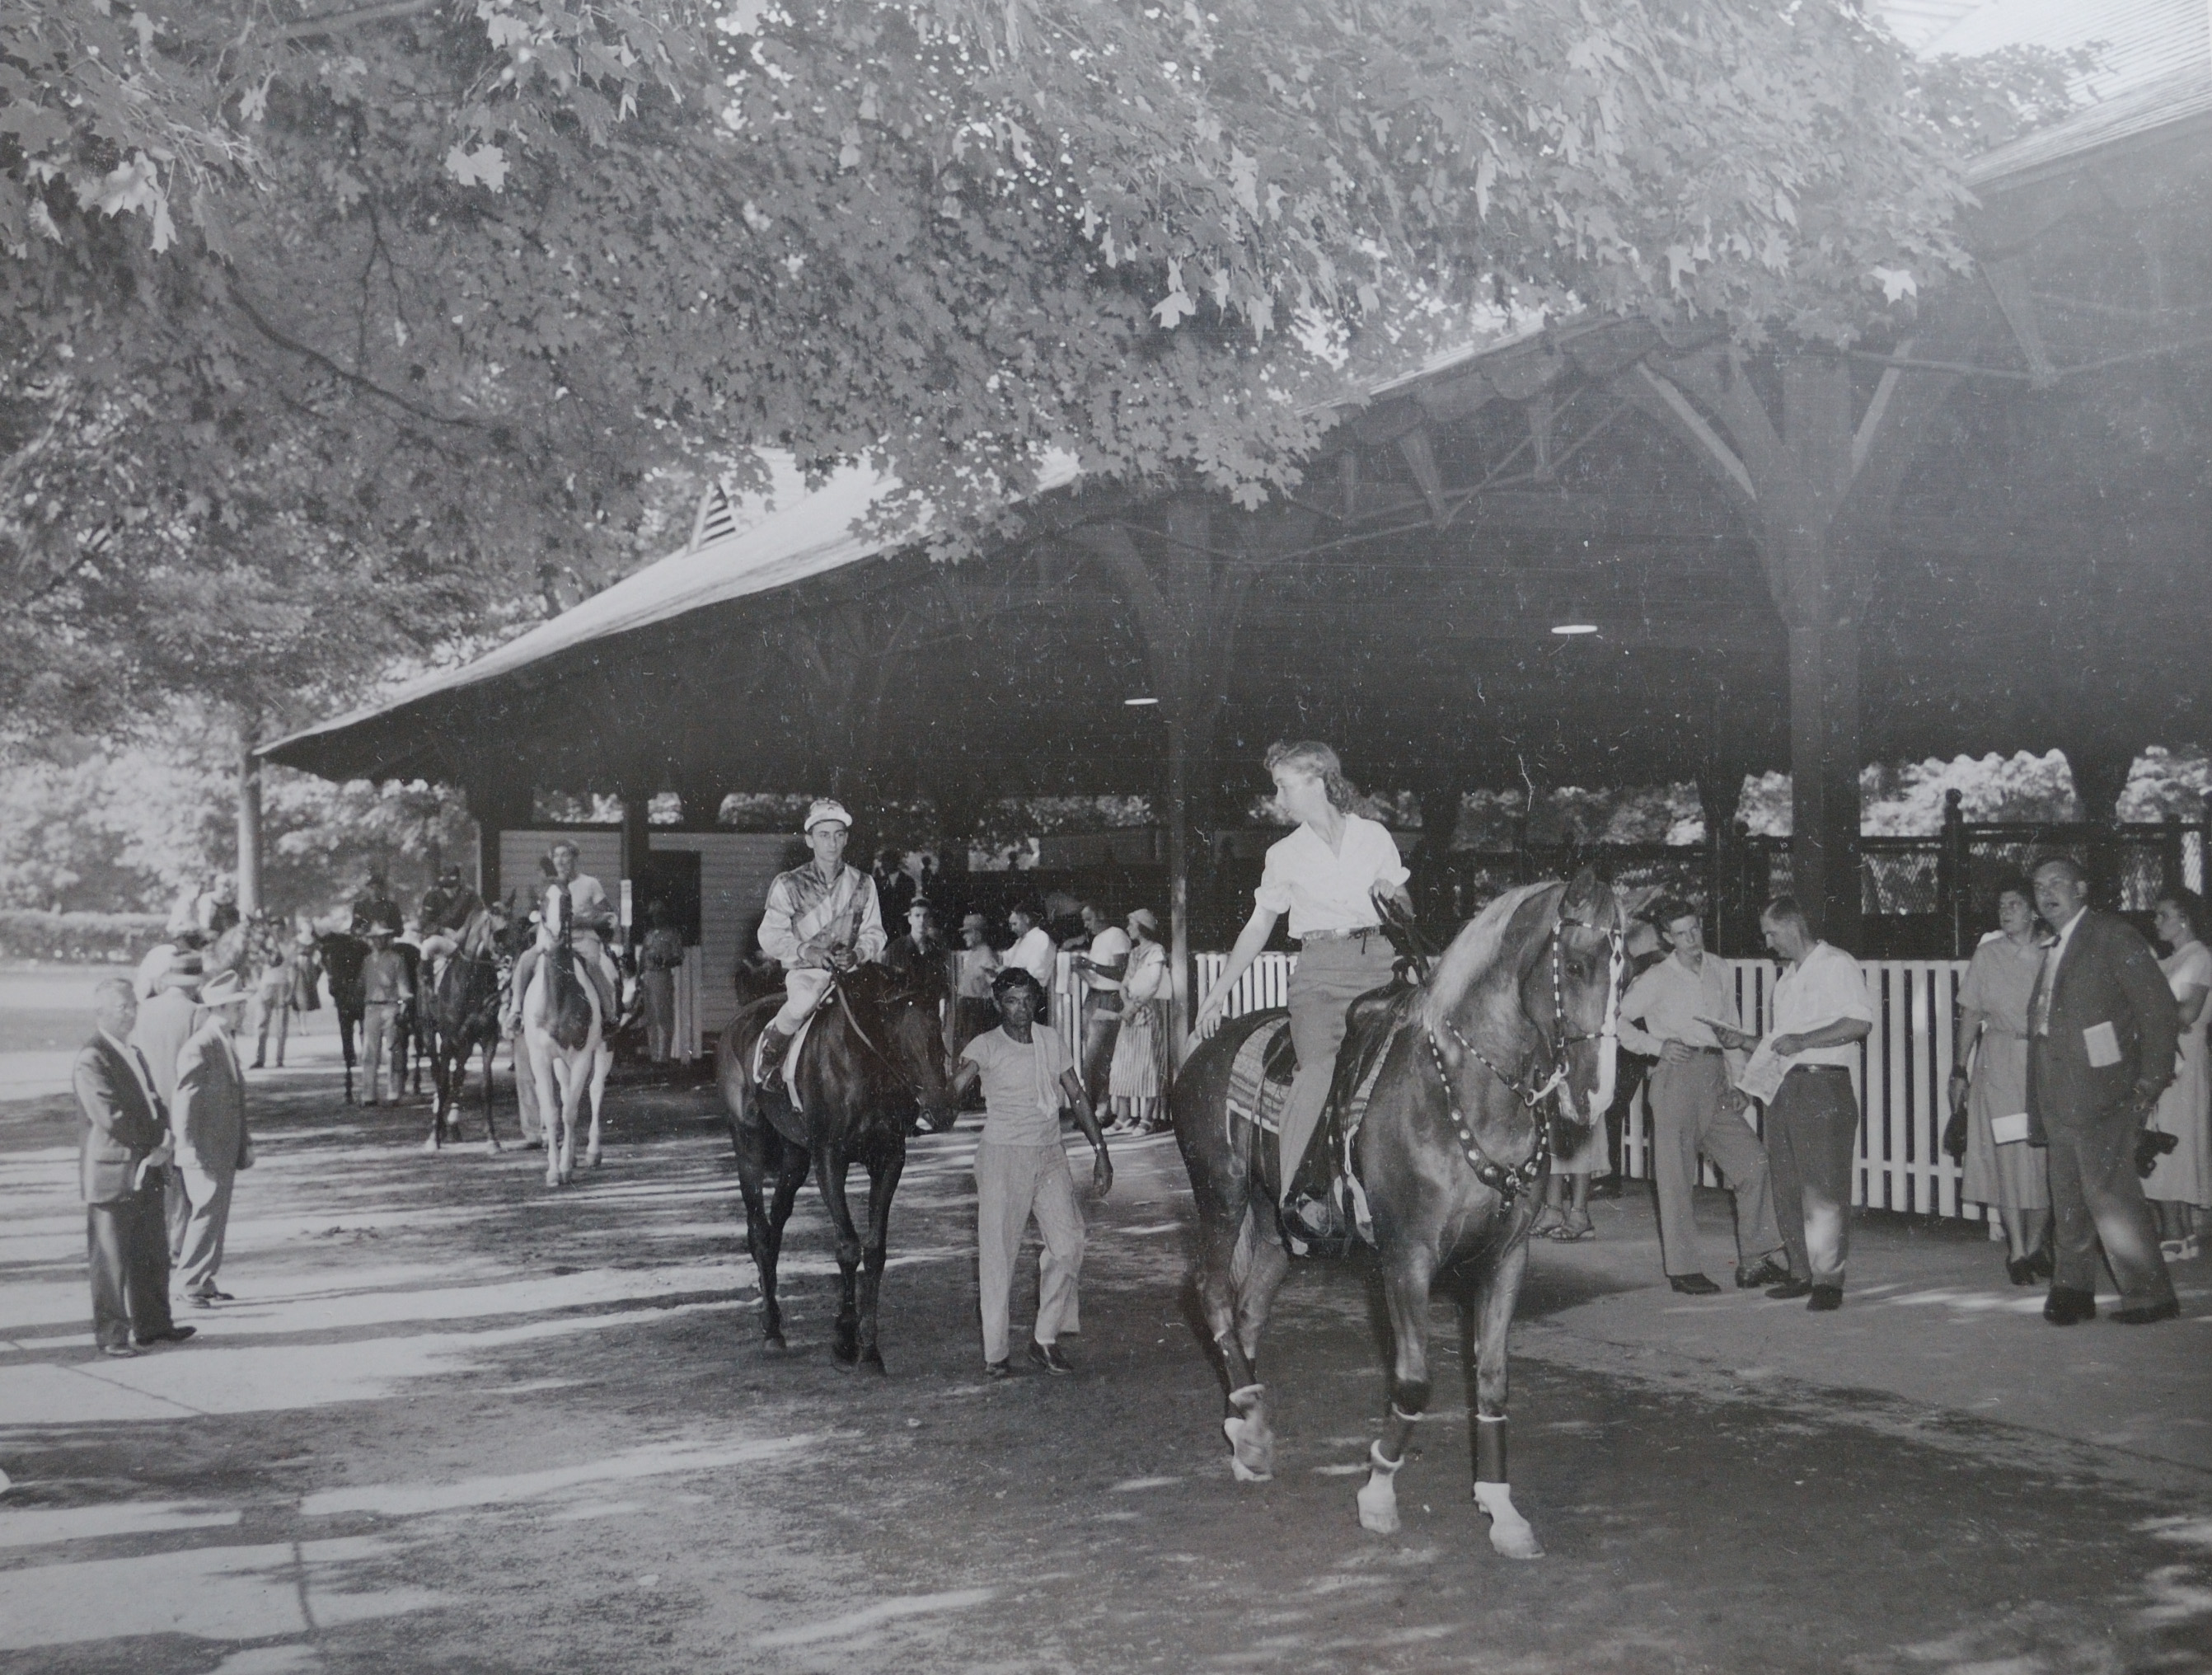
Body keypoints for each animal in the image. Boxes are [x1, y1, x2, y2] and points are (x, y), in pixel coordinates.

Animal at [518, 894, 615, 1185]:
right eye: (542, 908)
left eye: (568, 906)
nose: (557, 936)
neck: (558, 997)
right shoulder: (541, 1057)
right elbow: (552, 1111)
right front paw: (554, 1170)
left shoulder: (582, 1055)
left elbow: (570, 1111)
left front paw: (565, 1169)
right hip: (561, 1061)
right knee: (566, 1090)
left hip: (604, 1048)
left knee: (595, 1090)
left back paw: (592, 1153)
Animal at [707, 959, 951, 1363]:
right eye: (899, 1042)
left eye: (939, 1034)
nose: (940, 1111)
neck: (861, 1063)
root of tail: (737, 1021)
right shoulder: (829, 1159)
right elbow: (848, 1247)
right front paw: (845, 1338)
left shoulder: (888, 1159)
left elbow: (875, 1249)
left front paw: (869, 1347)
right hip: (748, 1143)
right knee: (758, 1229)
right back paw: (771, 1328)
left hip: (795, 1156)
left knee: (775, 1225)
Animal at [1176, 867, 1628, 1557]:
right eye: (1575, 966)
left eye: (1625, 974)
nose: (1594, 1095)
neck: (1465, 1092)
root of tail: (1202, 1049)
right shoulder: (1406, 1257)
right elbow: (1414, 1380)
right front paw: (1379, 1491)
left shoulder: (1507, 1256)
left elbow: (1492, 1377)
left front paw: (1500, 1507)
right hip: (1221, 1198)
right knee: (1212, 1292)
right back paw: (1248, 1423)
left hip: (1276, 1228)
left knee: (1247, 1310)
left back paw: (1245, 1428)